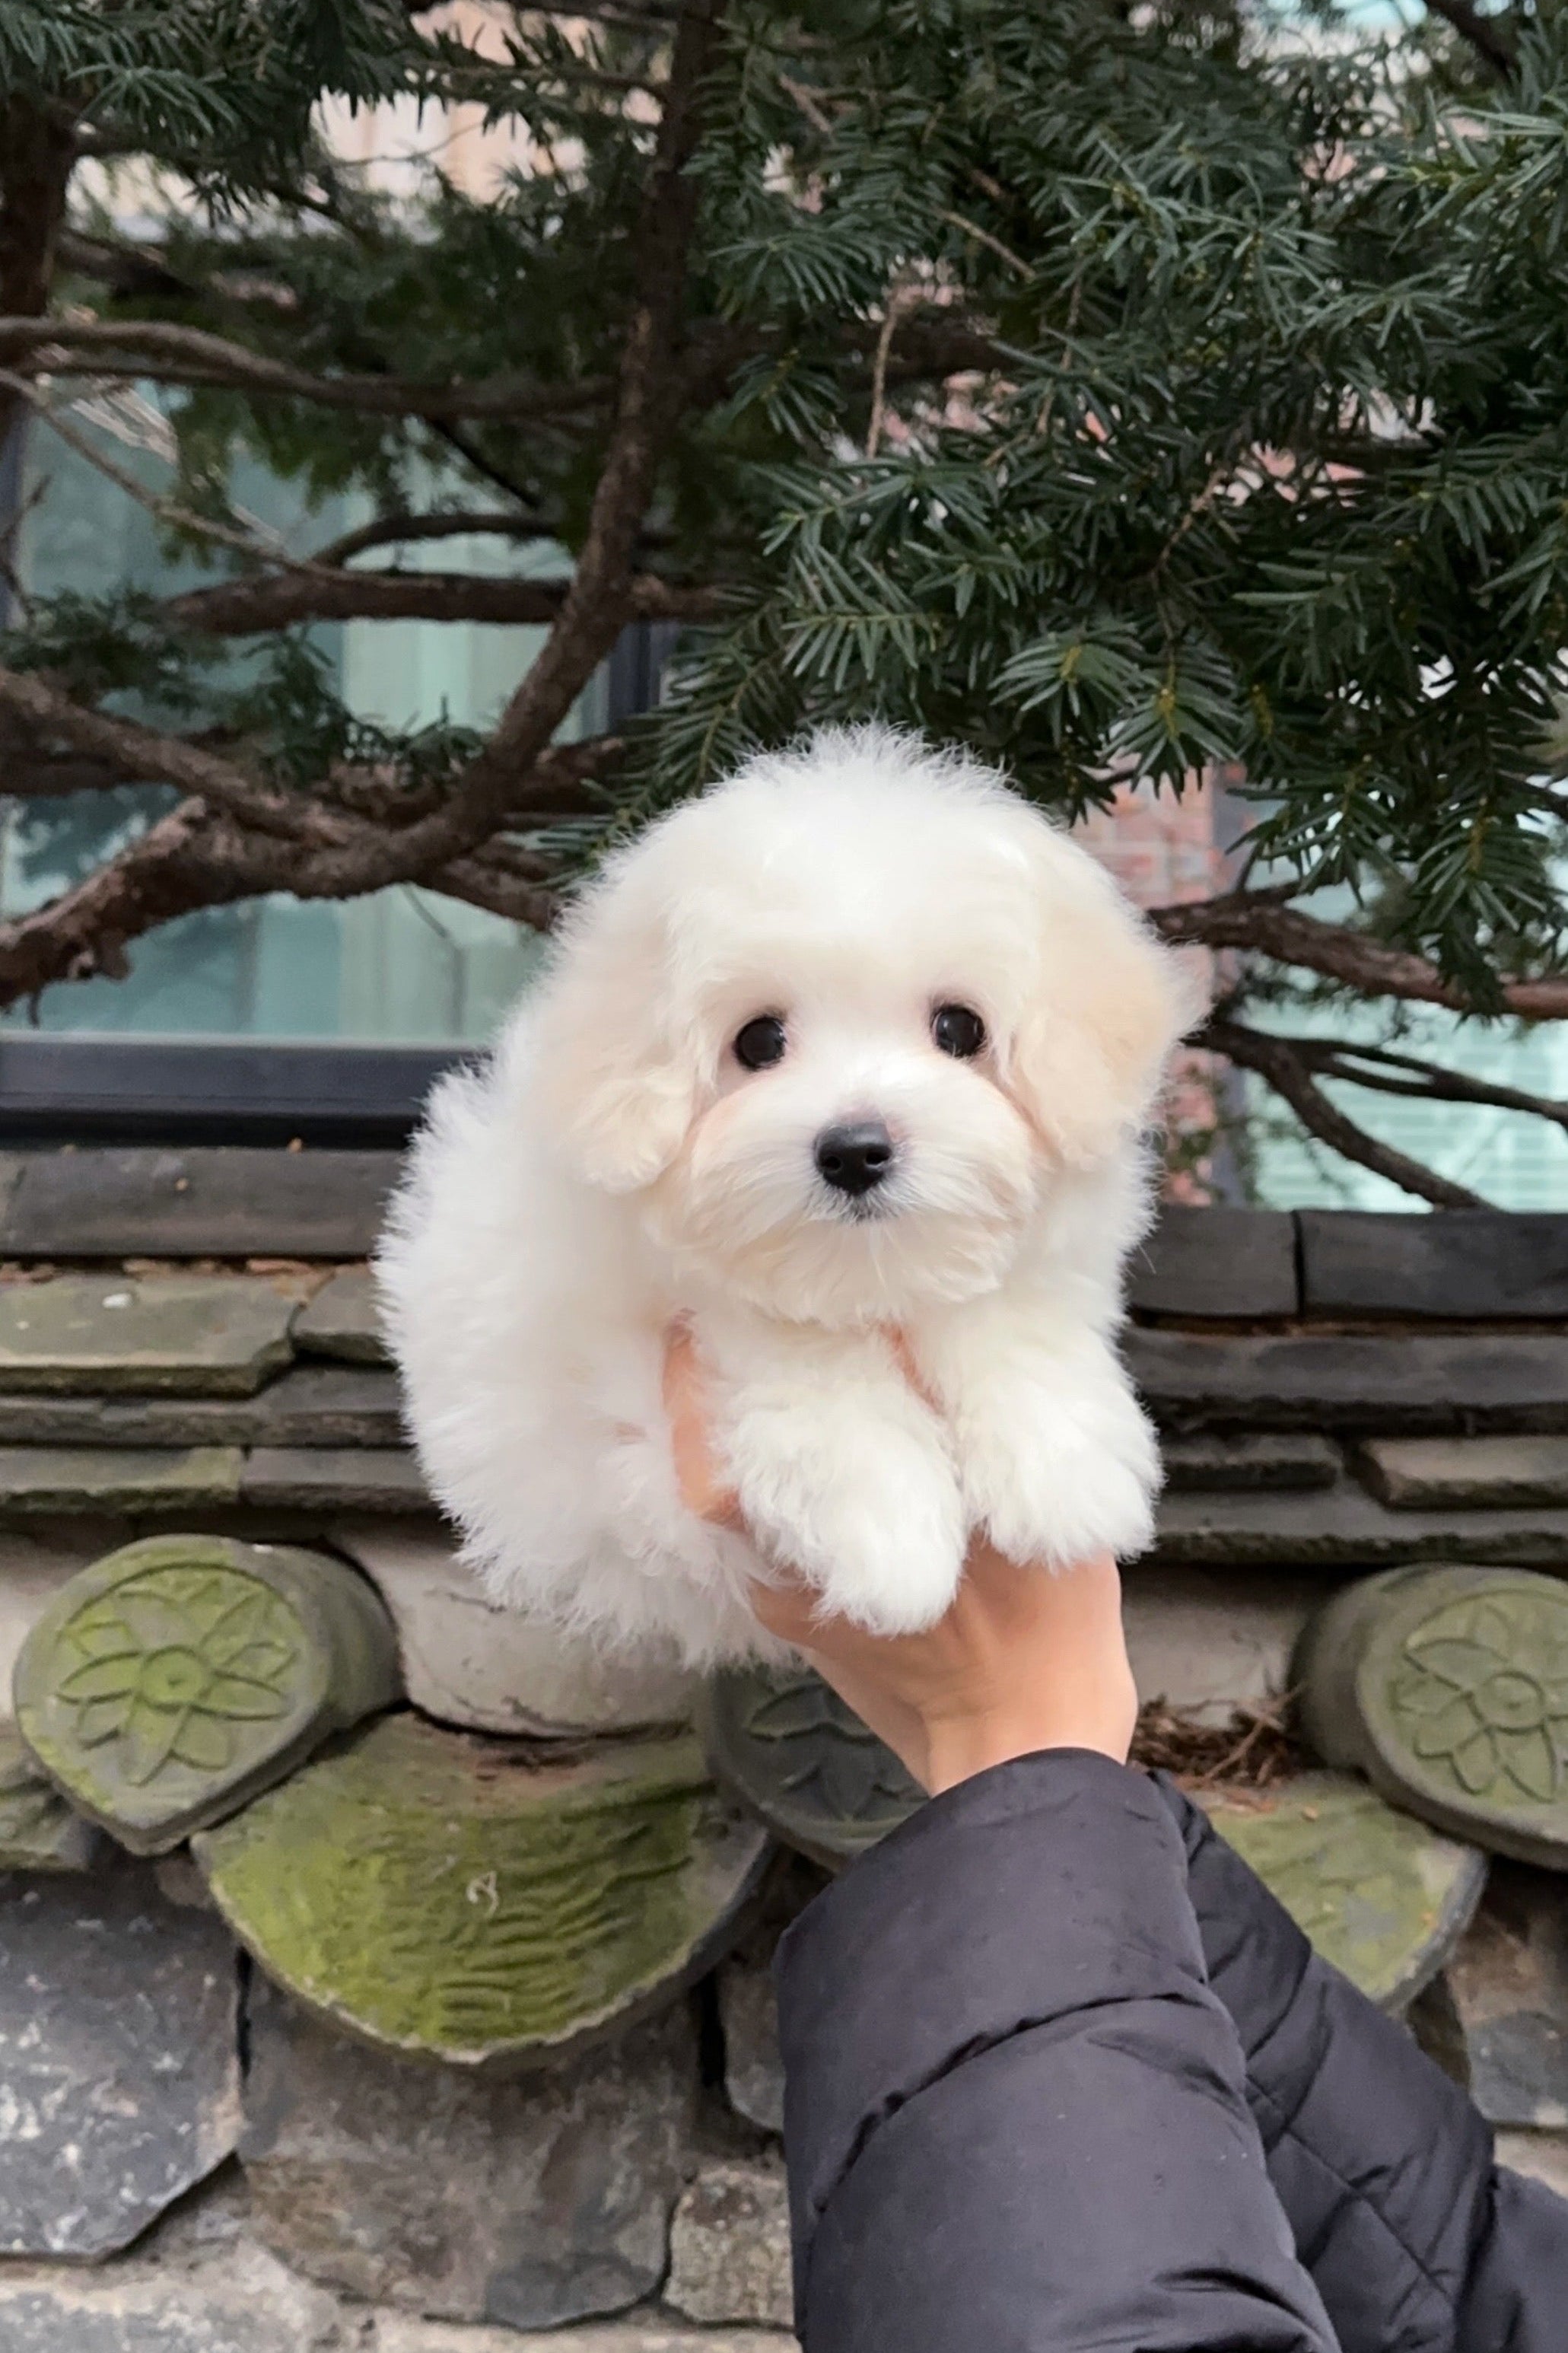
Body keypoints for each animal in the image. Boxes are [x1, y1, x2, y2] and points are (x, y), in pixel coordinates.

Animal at [380, 724, 1204, 1666]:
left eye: (959, 1027)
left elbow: (1008, 1315)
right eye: (759, 1040)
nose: (855, 1150)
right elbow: (800, 1366)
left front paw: (1064, 1471)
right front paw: (894, 1539)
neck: (862, 1275)